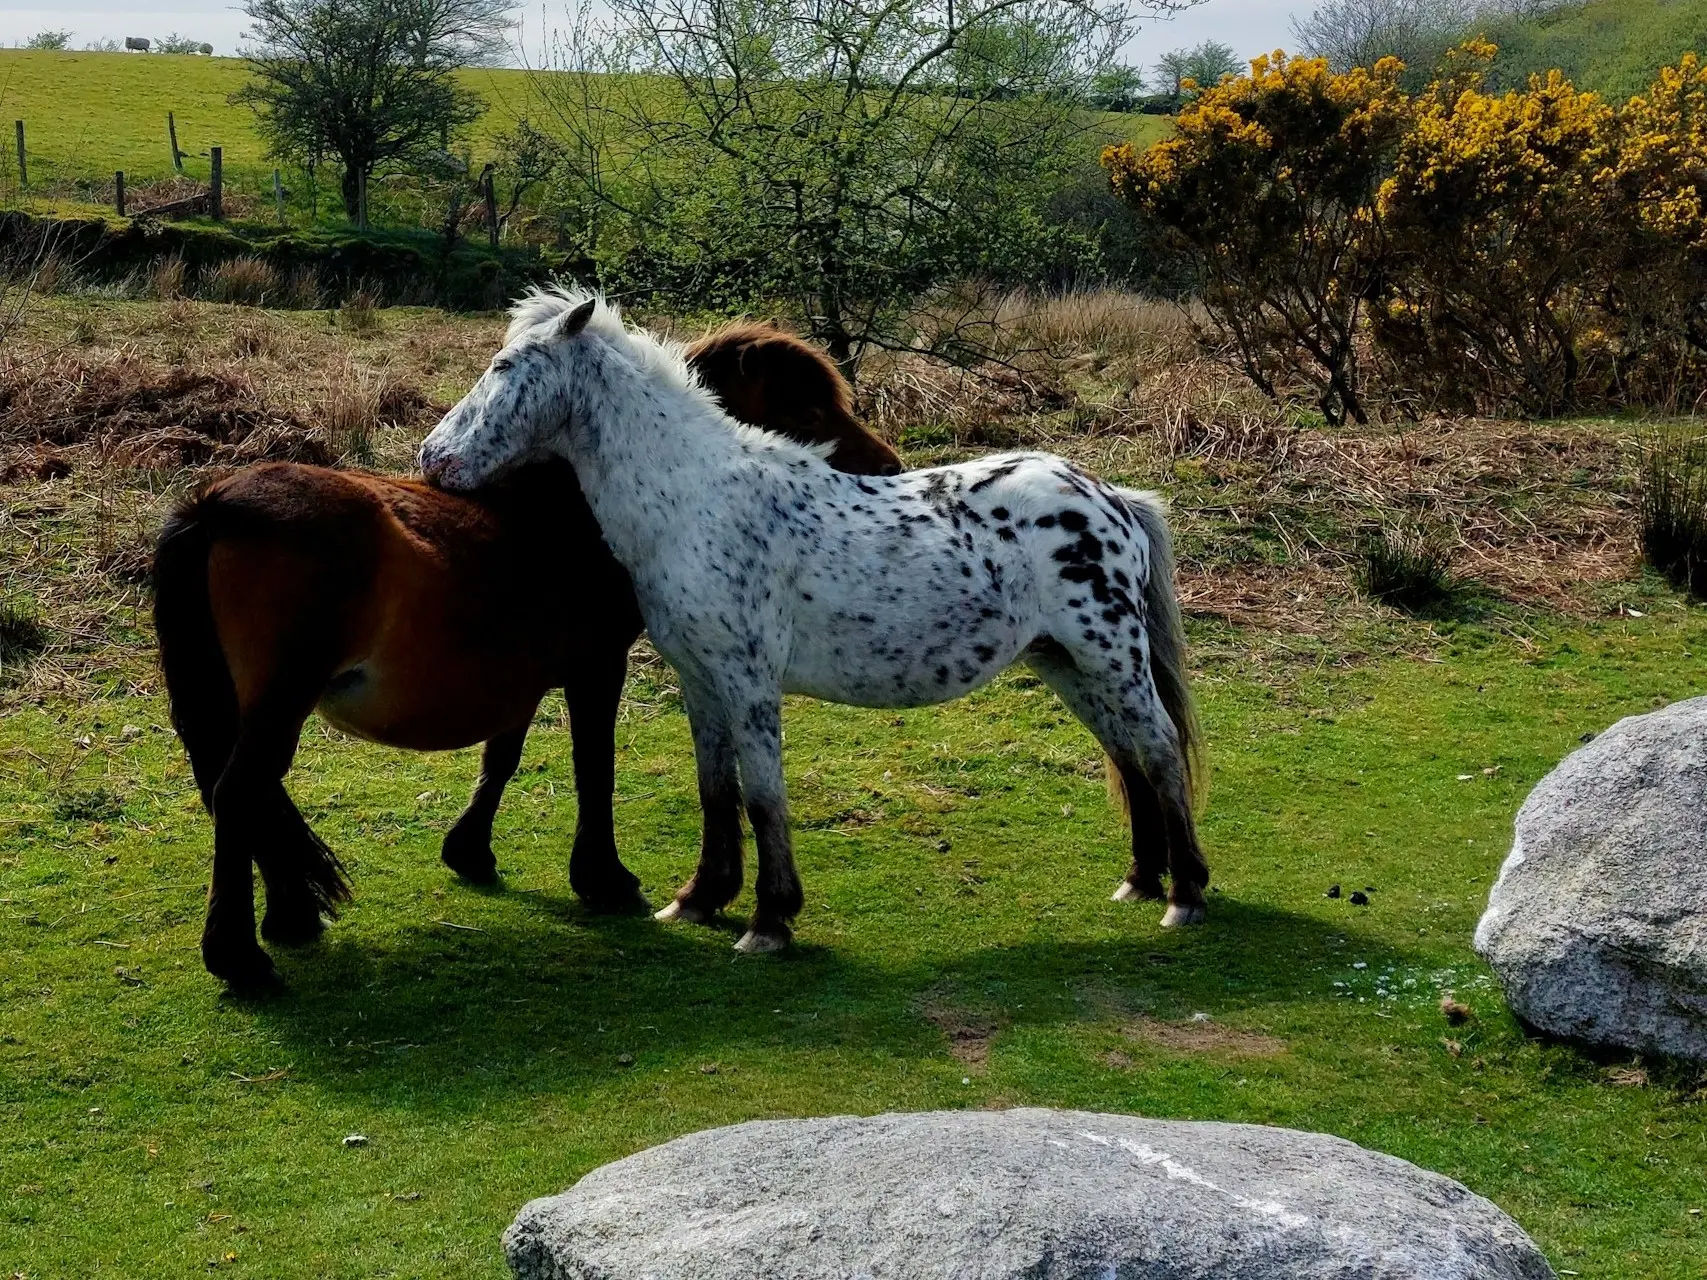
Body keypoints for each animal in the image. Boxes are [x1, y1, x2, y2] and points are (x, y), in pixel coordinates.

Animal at [157, 322, 908, 989]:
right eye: (808, 407)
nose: (891, 467)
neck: (573, 509)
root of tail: (215, 505)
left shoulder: (520, 674)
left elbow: (502, 756)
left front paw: (470, 852)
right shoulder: (596, 666)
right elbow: (593, 768)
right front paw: (603, 879)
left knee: (251, 796)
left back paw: (288, 917)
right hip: (280, 698)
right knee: (239, 792)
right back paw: (241, 958)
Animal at [419, 288, 1208, 955]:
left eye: (503, 366)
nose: (432, 458)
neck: (697, 502)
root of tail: (1110, 496)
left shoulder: (748, 683)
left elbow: (764, 797)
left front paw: (770, 919)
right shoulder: (701, 684)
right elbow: (717, 791)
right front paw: (699, 900)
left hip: (1111, 659)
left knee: (1160, 750)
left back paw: (1185, 897)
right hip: (1065, 664)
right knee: (1127, 755)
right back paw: (1141, 882)